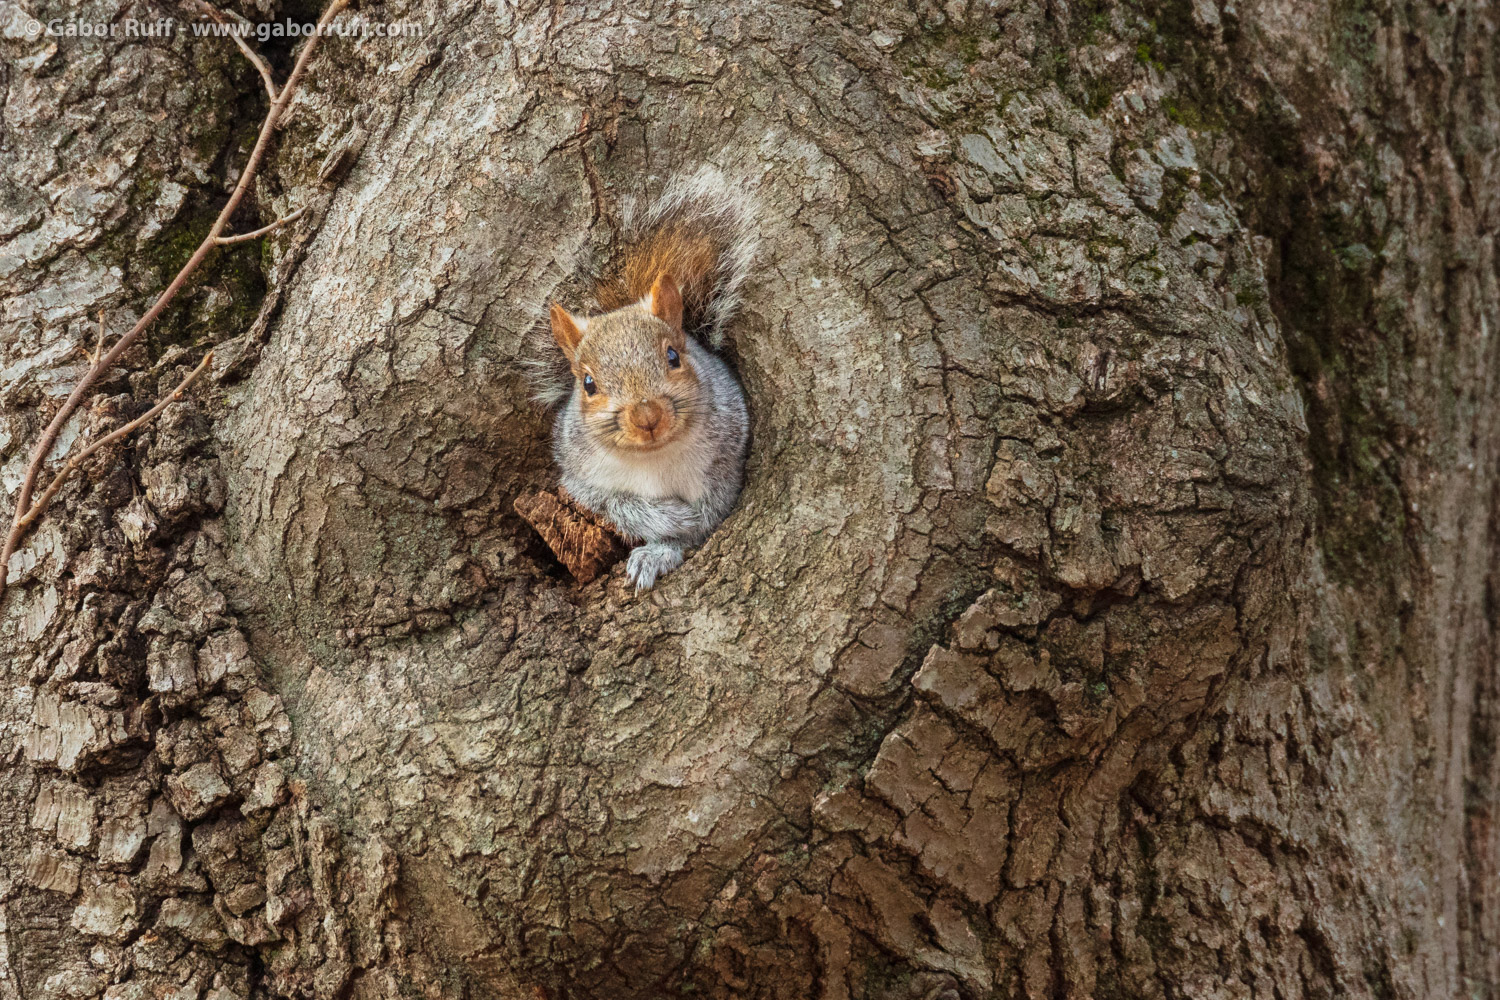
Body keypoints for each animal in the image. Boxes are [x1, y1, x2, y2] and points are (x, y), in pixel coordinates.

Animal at [531, 167, 762, 590]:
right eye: (587, 384)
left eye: (673, 356)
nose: (646, 416)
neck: (653, 459)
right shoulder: (581, 481)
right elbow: (619, 506)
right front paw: (668, 522)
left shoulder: (725, 464)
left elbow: (707, 520)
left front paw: (668, 545)